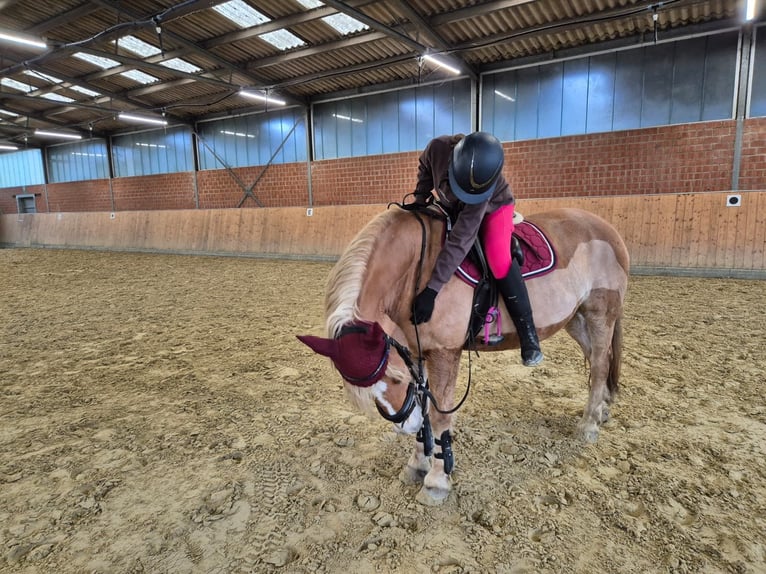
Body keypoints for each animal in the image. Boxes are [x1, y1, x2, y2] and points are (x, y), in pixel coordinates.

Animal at [298, 206, 630, 506]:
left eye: (394, 378)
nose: (404, 427)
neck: (417, 272)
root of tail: (608, 229)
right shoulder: (418, 352)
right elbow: (425, 411)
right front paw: (417, 464)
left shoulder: (444, 353)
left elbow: (439, 416)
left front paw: (436, 482)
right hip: (576, 318)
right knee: (597, 361)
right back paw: (602, 410)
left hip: (600, 314)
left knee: (600, 364)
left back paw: (589, 425)